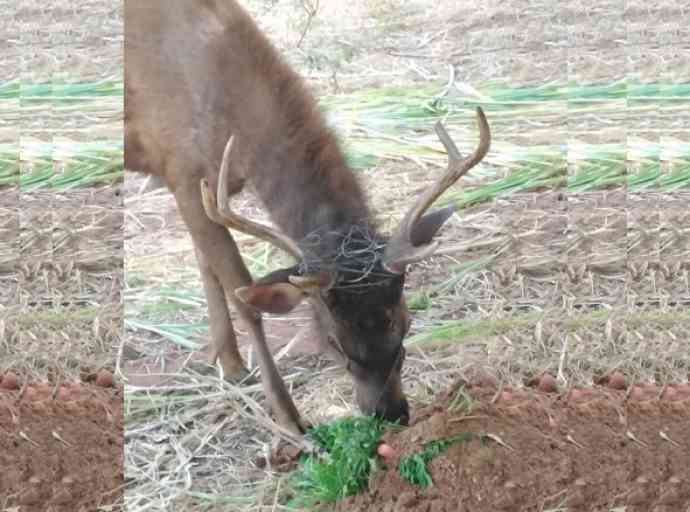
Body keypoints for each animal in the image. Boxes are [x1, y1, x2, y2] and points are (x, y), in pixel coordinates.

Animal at [123, 0, 490, 436]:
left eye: (406, 324)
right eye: (335, 343)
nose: (390, 414)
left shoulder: (202, 186)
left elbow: (206, 266)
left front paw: (231, 365)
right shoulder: (179, 170)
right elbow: (244, 296)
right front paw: (289, 417)